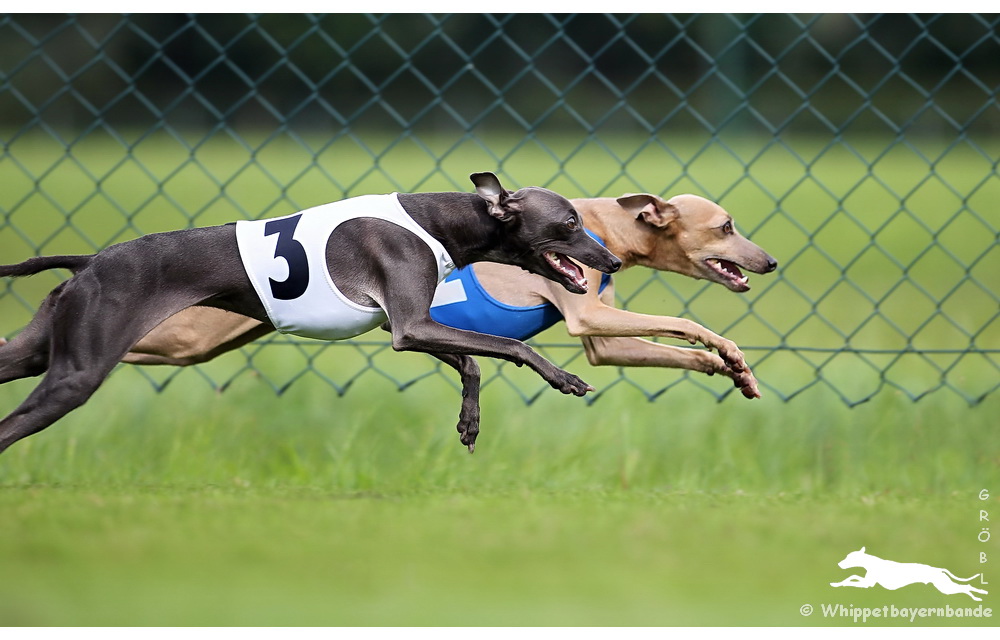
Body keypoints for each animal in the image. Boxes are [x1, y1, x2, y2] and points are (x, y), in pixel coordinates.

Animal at [0, 174, 620, 456]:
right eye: (568, 222)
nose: (612, 259)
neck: (440, 219)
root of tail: (89, 261)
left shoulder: (405, 324)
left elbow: (471, 362)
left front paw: (469, 423)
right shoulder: (409, 327)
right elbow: (510, 346)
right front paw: (563, 377)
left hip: (37, 352)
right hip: (77, 373)